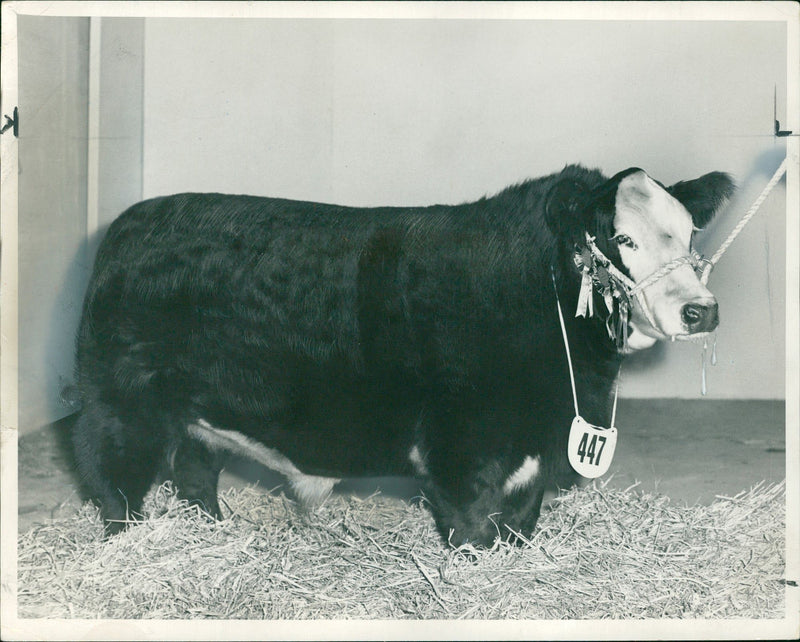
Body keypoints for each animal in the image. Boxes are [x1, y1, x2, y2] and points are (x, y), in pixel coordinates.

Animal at [72, 162, 736, 544]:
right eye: (621, 237)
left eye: (690, 232)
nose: (700, 309)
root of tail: (132, 223)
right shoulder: (462, 446)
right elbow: (473, 527)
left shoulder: (534, 450)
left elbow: (520, 524)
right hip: (121, 402)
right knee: (116, 483)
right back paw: (127, 545)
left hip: (200, 413)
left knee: (194, 472)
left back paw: (212, 533)